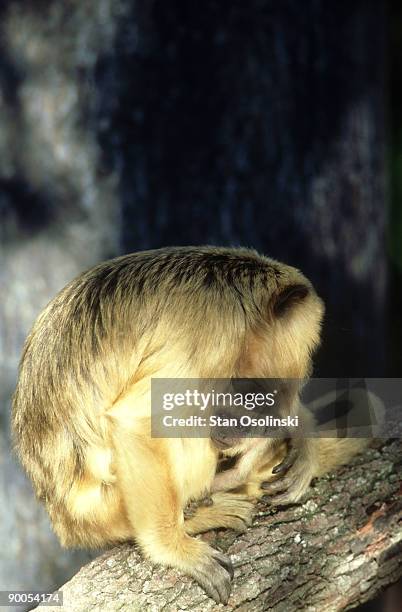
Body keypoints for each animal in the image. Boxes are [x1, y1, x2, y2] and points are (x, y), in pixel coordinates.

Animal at [11, 246, 366, 604]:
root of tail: (65, 523)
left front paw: (300, 434)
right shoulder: (212, 336)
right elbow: (140, 421)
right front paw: (173, 549)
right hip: (104, 509)